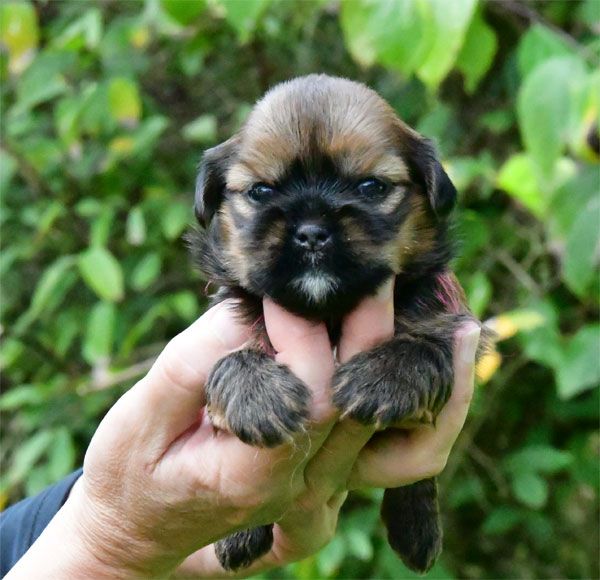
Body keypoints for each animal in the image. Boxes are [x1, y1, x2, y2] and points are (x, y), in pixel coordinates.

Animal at [190, 75, 490, 572]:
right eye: (262, 192)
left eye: (370, 186)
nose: (312, 232)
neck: (328, 313)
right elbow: (231, 362)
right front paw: (257, 397)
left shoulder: (451, 316)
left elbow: (423, 346)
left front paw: (385, 378)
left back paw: (417, 529)